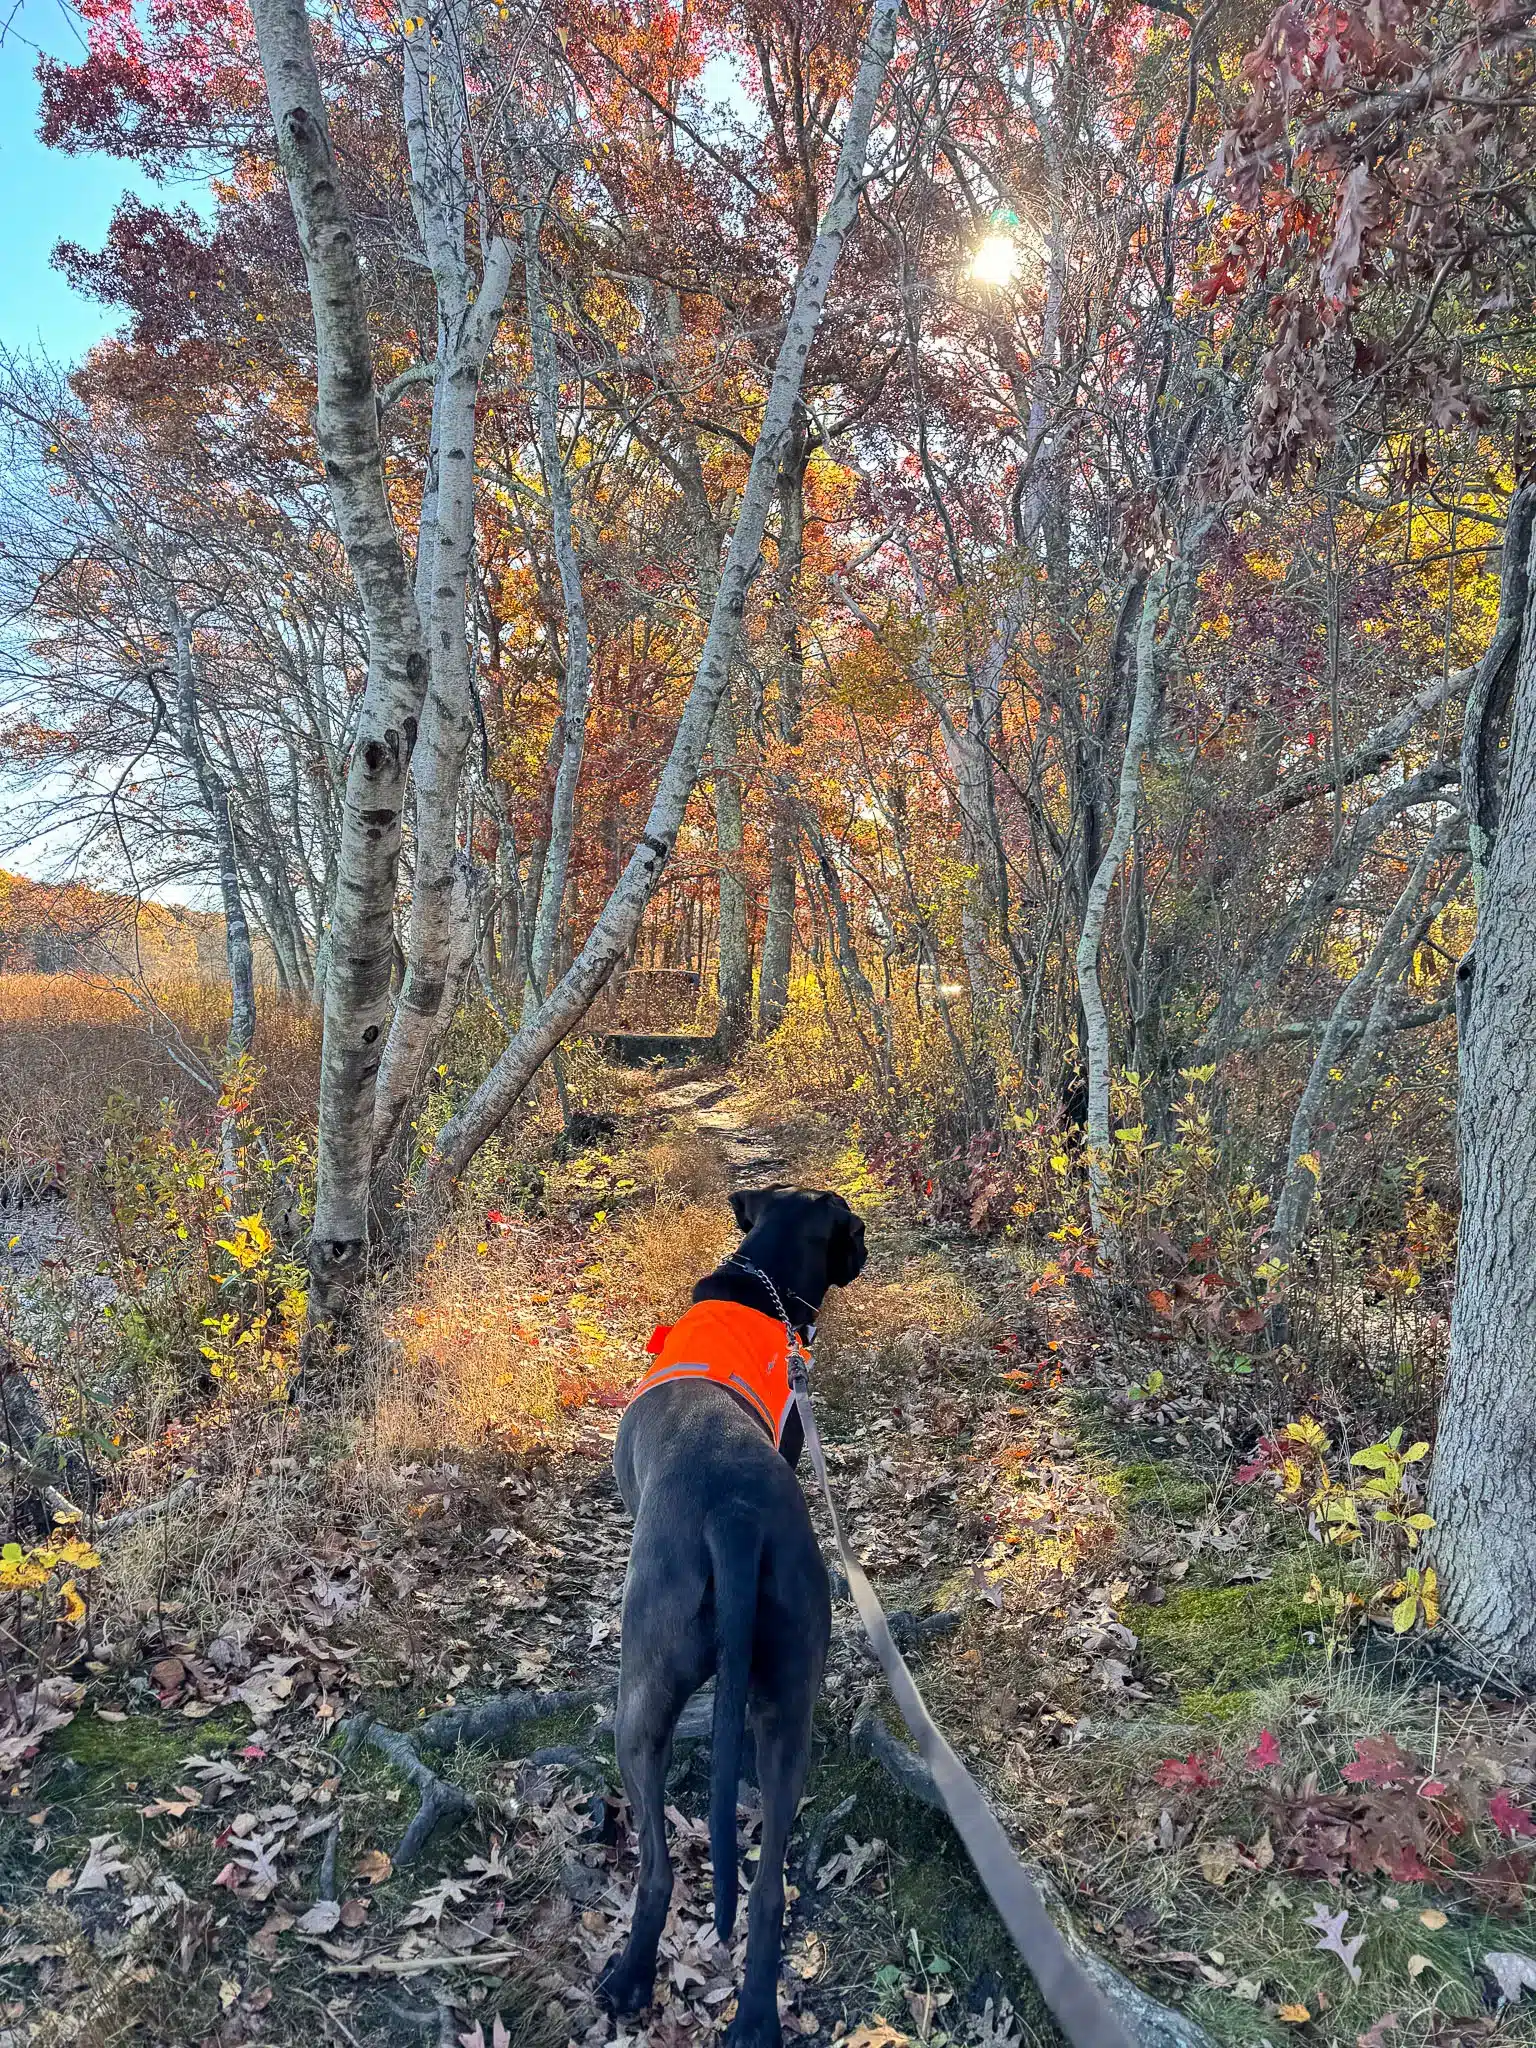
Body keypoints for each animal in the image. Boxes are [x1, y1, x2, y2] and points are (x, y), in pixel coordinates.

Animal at [598, 1187, 868, 2048]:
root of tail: (737, 1515)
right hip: (788, 1702)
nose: (866, 1249)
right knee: (771, 1888)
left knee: (656, 1867)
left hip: (640, 1698)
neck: (762, 1281)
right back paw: (753, 2018)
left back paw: (629, 1977)